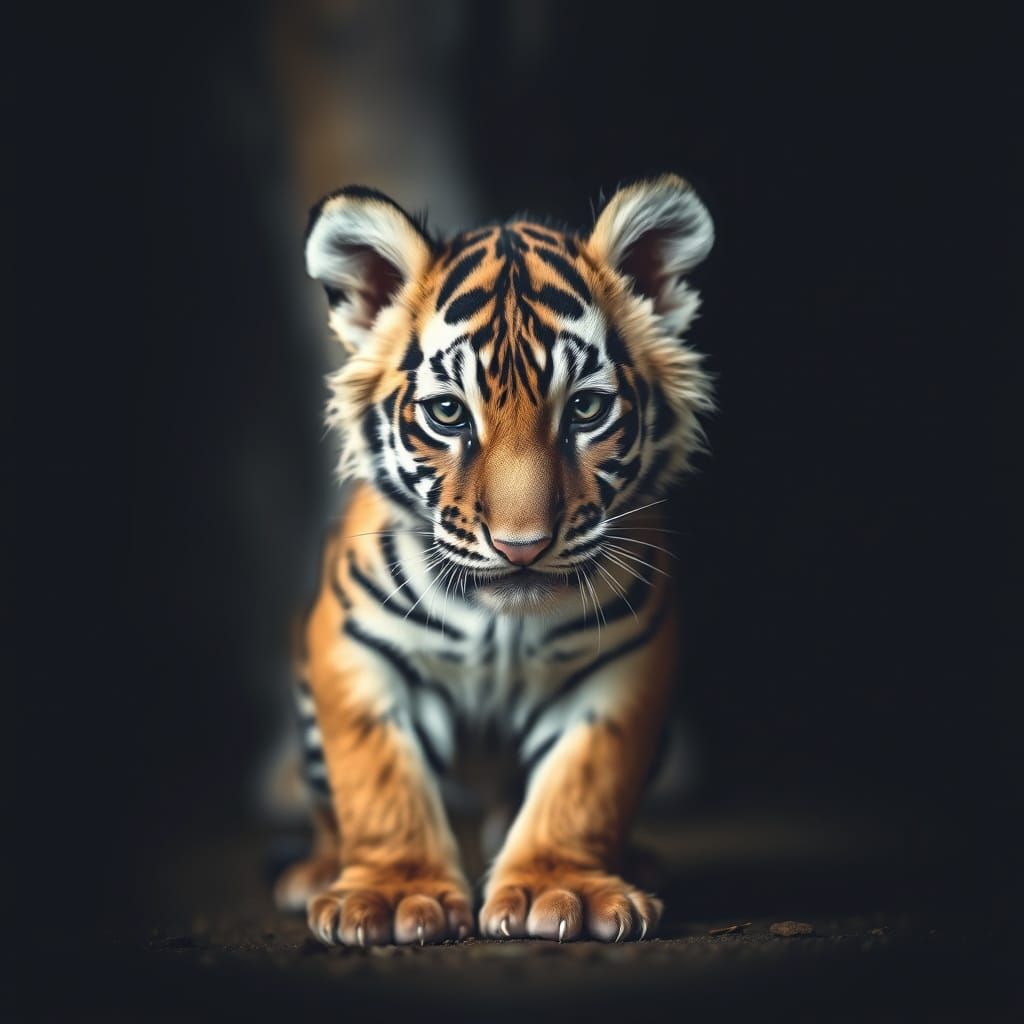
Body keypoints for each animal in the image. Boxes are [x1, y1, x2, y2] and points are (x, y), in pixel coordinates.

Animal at [275, 175, 715, 946]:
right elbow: (379, 783)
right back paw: (316, 874)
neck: (501, 625)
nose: (521, 545)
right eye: (449, 414)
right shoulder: (355, 653)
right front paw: (393, 895)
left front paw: (558, 888)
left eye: (587, 410)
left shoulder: (624, 668)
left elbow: (584, 785)